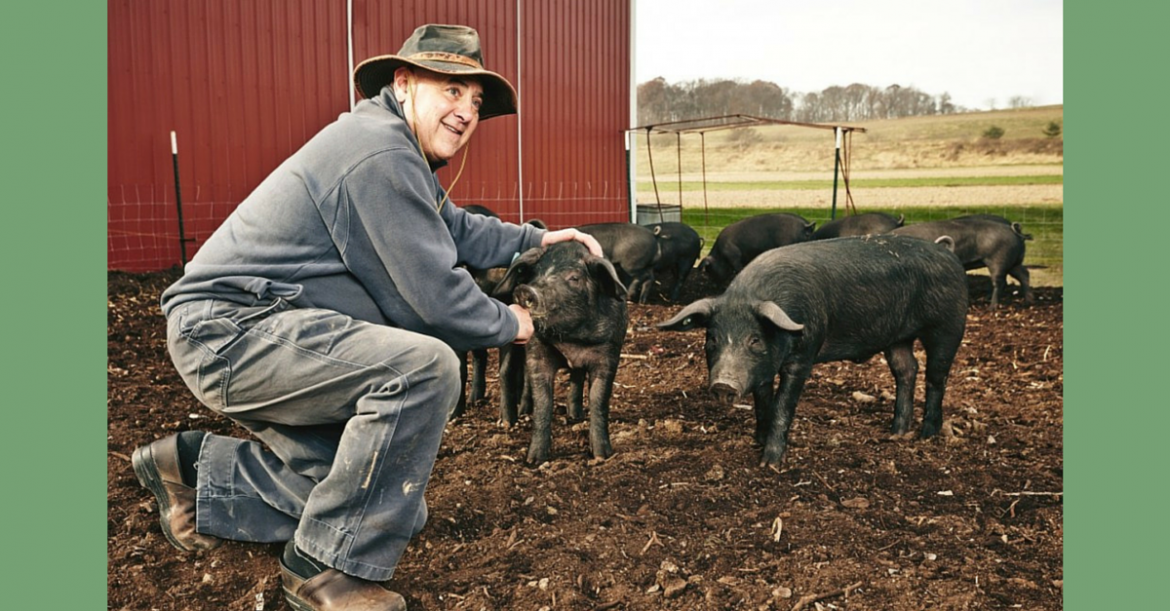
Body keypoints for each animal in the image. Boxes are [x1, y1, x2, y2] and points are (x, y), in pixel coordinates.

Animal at [493, 241, 629, 464]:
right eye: (534, 273)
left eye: (574, 277)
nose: (526, 289)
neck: (572, 338)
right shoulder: (537, 350)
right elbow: (544, 401)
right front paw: (533, 460)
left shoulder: (610, 353)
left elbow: (598, 398)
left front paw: (601, 456)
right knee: (506, 371)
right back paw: (509, 422)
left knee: (575, 376)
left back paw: (573, 415)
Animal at [658, 235, 968, 470]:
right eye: (711, 339)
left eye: (755, 339)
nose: (723, 384)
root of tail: (948, 252)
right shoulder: (762, 370)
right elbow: (762, 402)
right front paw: (758, 441)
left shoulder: (804, 355)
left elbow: (783, 405)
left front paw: (770, 464)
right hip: (897, 338)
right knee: (907, 369)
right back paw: (896, 434)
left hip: (948, 325)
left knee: (936, 377)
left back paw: (926, 436)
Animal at [891, 216, 1030, 308]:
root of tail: (1013, 230)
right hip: (1014, 261)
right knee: (1024, 274)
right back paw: (1029, 301)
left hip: (998, 260)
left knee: (1000, 282)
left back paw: (991, 307)